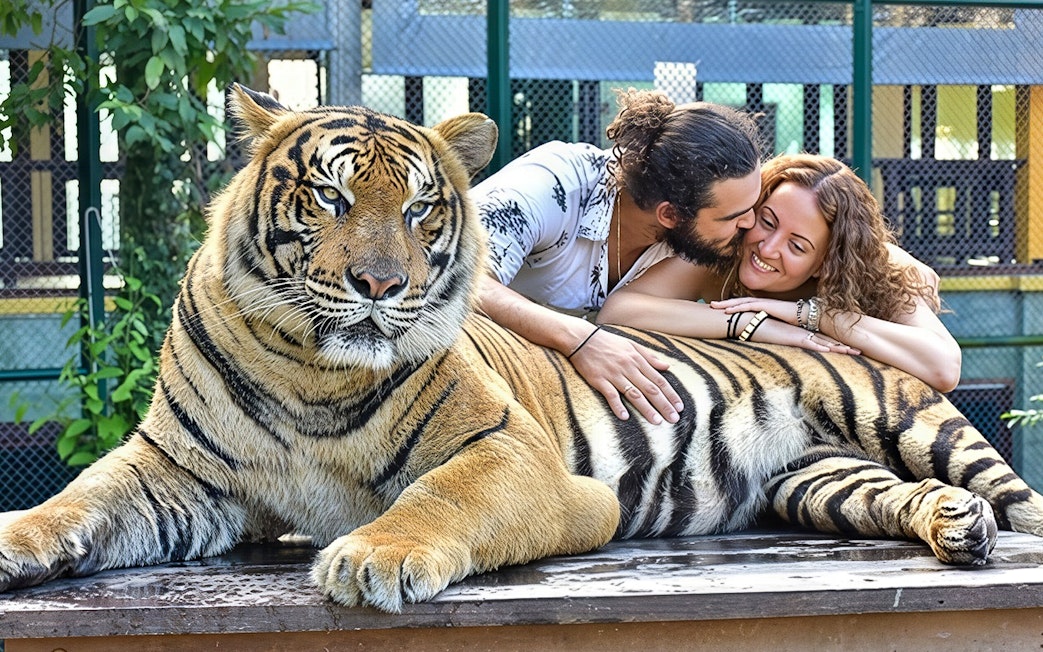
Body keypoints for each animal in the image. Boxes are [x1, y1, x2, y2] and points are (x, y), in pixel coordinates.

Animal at [1, 84, 1041, 615]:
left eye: (421, 207)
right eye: (331, 197)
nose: (382, 286)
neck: (309, 367)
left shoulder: (514, 454)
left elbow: (439, 498)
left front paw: (371, 558)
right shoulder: (177, 469)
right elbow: (79, 500)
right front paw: (16, 540)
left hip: (913, 420)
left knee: (1013, 495)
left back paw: (984, 523)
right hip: (815, 480)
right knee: (894, 496)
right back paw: (954, 529)